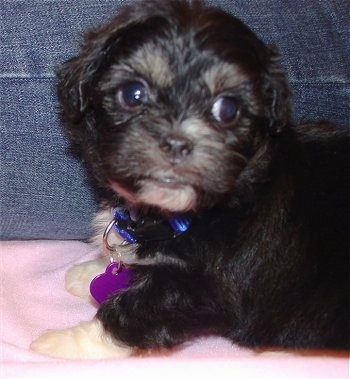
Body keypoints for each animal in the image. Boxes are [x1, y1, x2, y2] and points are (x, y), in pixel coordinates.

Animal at [31, 0, 348, 360]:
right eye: (133, 93)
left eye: (228, 109)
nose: (176, 143)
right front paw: (91, 272)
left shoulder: (206, 287)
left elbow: (133, 309)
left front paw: (67, 342)